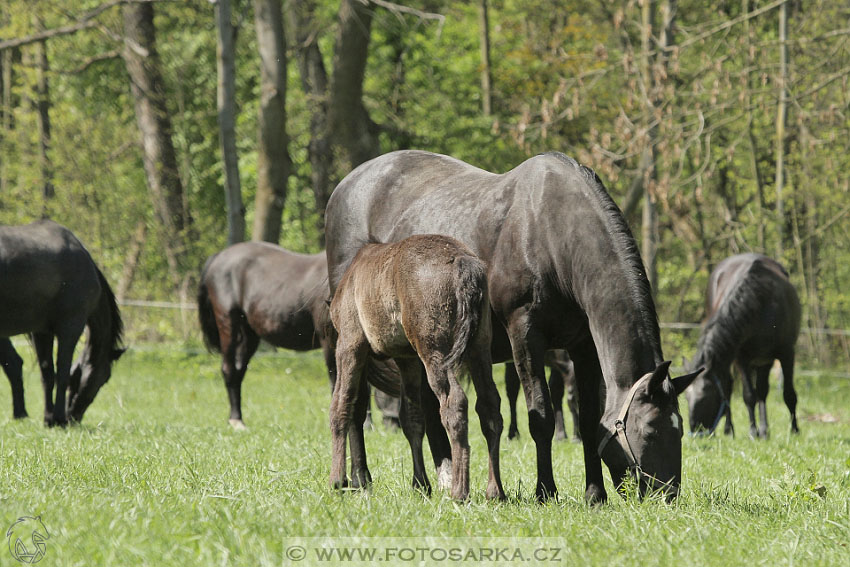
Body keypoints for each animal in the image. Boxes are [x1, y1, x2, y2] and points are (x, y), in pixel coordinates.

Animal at [0, 221, 125, 426]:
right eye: (104, 378)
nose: (74, 418)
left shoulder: (42, 332)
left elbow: (47, 374)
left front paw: (49, 418)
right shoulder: (71, 328)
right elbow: (62, 372)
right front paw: (58, 418)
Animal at [330, 235, 504, 502]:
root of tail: (465, 265)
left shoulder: (350, 341)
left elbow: (341, 403)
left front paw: (337, 480)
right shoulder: (407, 358)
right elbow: (412, 418)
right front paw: (420, 484)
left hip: (435, 349)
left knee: (455, 402)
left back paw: (459, 491)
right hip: (480, 346)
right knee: (489, 405)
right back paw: (495, 491)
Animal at [684, 254, 800, 440]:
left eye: (705, 397)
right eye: (686, 397)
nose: (696, 432)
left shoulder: (786, 353)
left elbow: (788, 394)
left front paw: (795, 430)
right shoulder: (741, 359)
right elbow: (748, 396)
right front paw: (753, 431)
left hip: (764, 360)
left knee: (761, 390)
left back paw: (764, 430)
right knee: (730, 387)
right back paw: (730, 429)